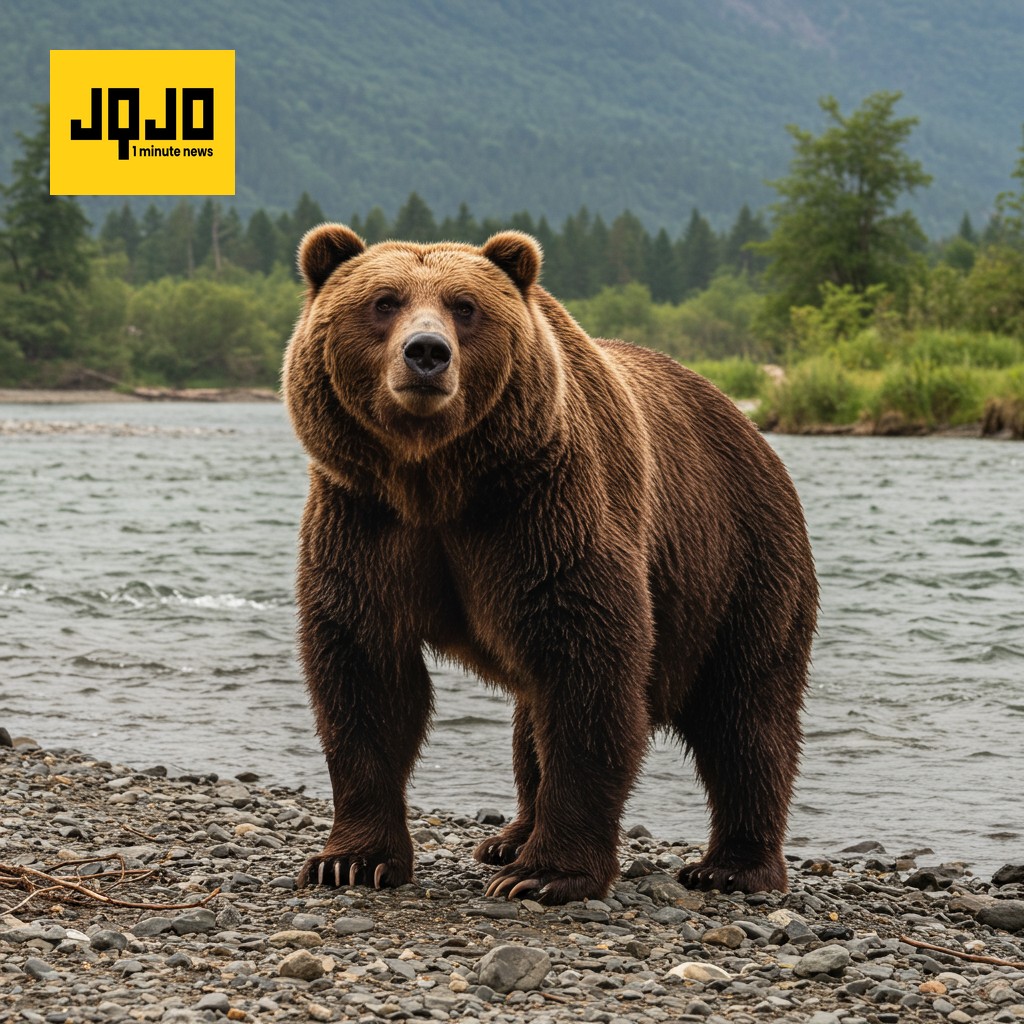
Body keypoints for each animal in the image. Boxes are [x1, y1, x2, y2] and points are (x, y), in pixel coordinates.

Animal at [281, 223, 818, 903]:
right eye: (384, 301)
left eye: (465, 306)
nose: (427, 353)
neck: (435, 480)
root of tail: (753, 430)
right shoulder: (363, 520)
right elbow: (364, 671)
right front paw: (350, 861)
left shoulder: (545, 512)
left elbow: (586, 674)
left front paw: (546, 873)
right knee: (531, 720)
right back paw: (509, 836)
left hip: (741, 563)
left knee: (745, 713)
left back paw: (731, 865)